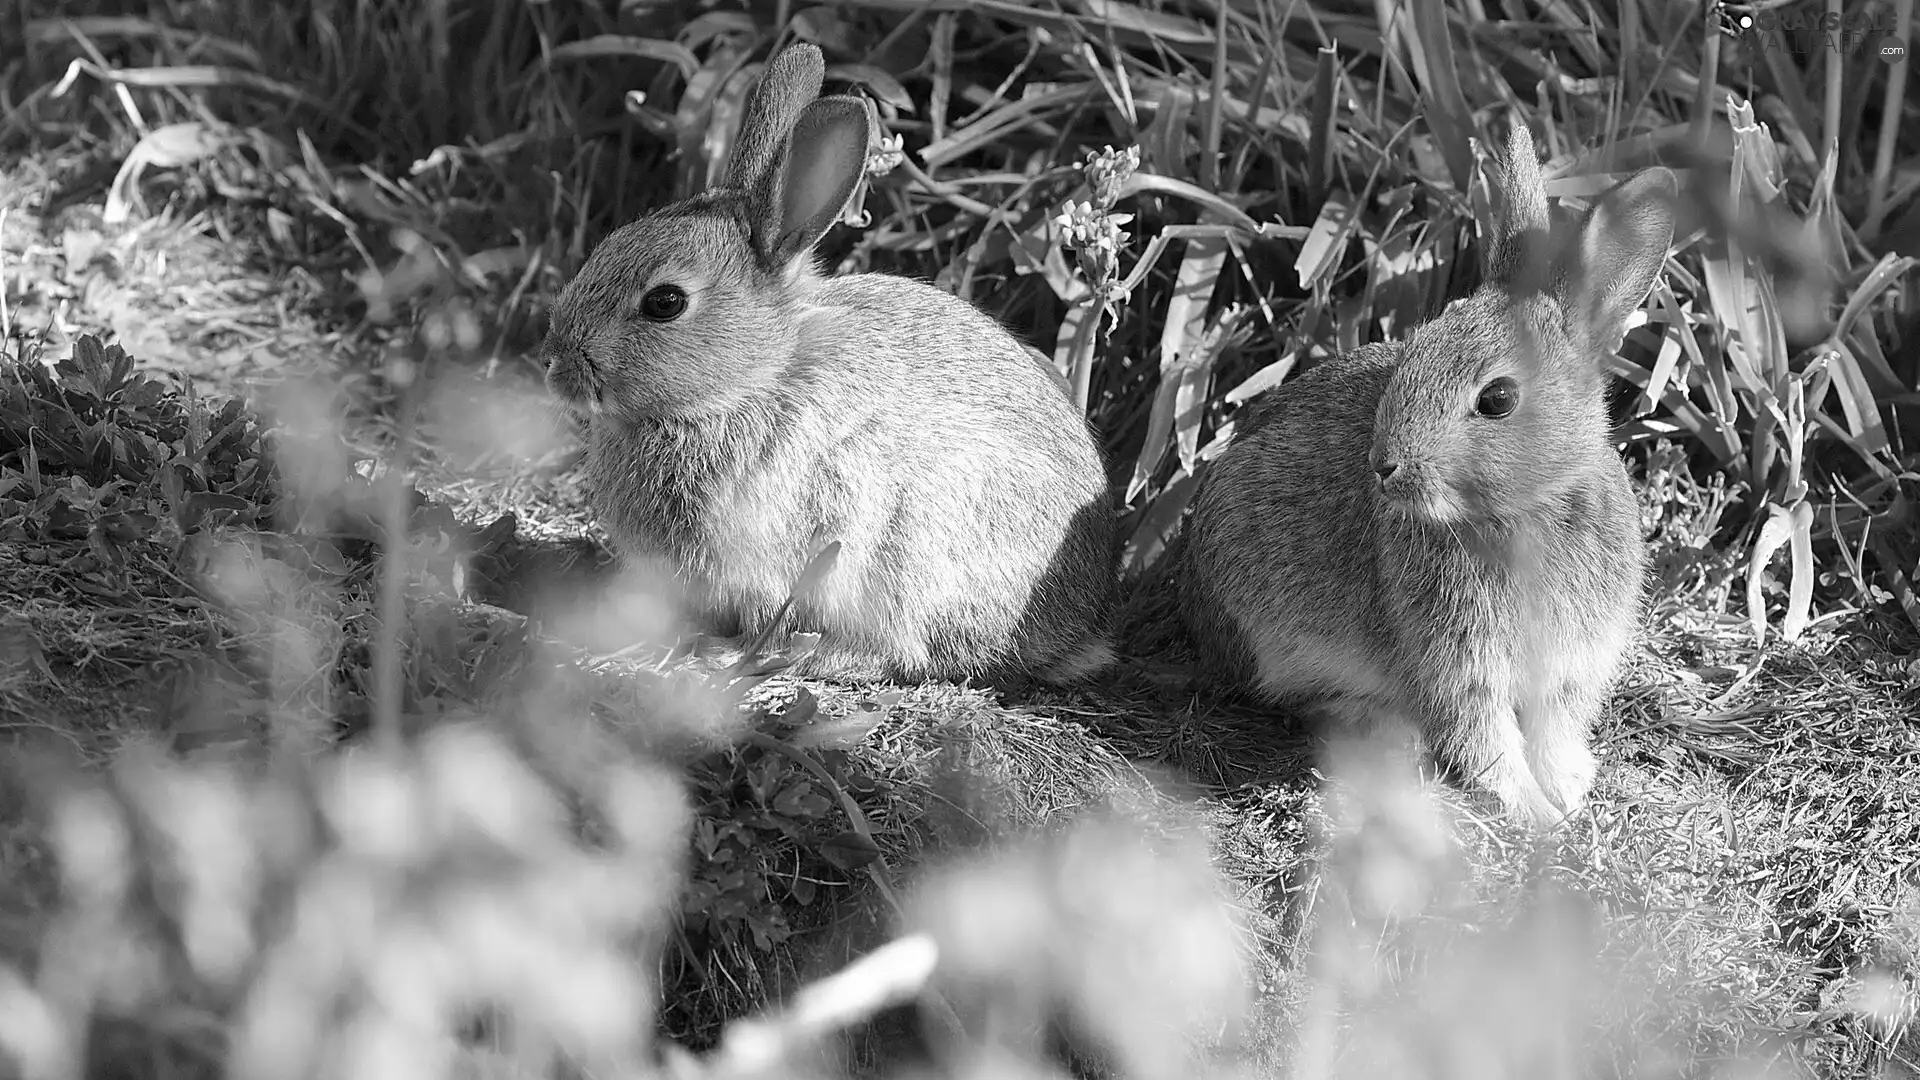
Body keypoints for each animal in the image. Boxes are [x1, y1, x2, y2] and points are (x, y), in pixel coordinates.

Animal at [533, 44, 1121, 680]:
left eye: (665, 302)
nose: (556, 365)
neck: (752, 380)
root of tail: (1078, 627)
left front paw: (723, 651)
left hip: (911, 549)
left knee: (902, 651)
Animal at [1175, 117, 1674, 826]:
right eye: (1416, 349)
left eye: (1497, 398)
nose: (1384, 465)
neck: (1525, 511)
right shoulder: (1459, 668)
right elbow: (1485, 740)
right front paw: (1537, 813)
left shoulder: (1569, 668)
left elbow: (1551, 731)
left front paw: (1567, 792)